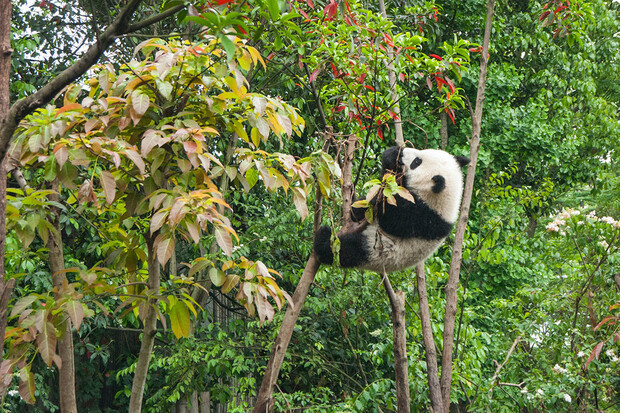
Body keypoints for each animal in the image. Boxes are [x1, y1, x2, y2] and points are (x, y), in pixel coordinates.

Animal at [314, 146, 470, 272]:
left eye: (416, 162)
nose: (403, 151)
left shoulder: (423, 218)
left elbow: (391, 219)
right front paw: (392, 155)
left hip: (375, 251)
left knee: (345, 250)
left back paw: (323, 237)